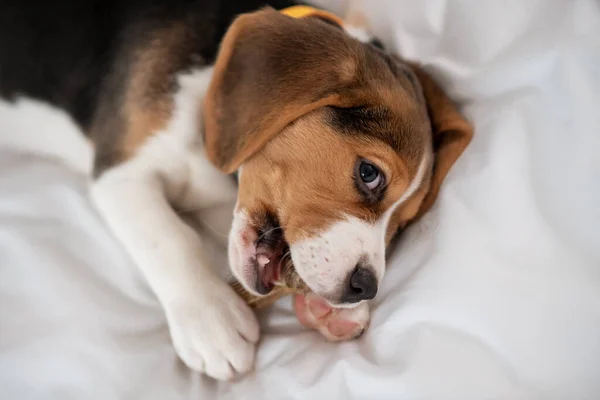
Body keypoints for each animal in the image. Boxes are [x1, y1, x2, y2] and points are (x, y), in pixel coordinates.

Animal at [0, 0, 472, 382]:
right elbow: (170, 238)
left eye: (403, 225)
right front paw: (211, 321)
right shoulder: (122, 173)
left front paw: (327, 312)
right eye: (370, 173)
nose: (364, 288)